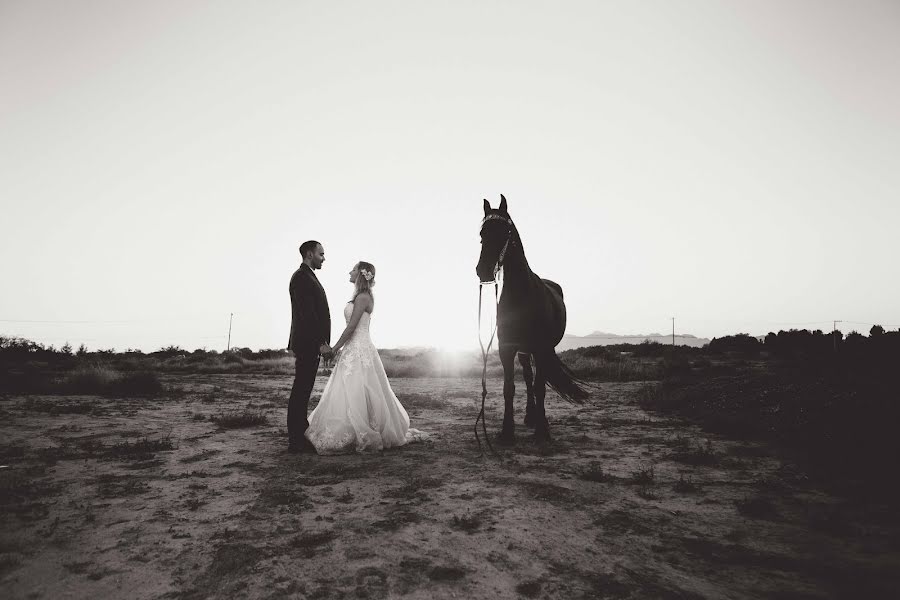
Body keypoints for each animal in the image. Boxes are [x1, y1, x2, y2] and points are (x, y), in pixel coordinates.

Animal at [474, 195, 588, 442]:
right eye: (482, 233)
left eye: (506, 232)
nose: (484, 270)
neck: (521, 295)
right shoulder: (507, 348)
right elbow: (509, 388)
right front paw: (507, 431)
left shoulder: (541, 348)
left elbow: (540, 388)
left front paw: (542, 431)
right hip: (525, 352)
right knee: (527, 378)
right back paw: (529, 415)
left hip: (540, 351)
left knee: (536, 381)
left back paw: (537, 419)